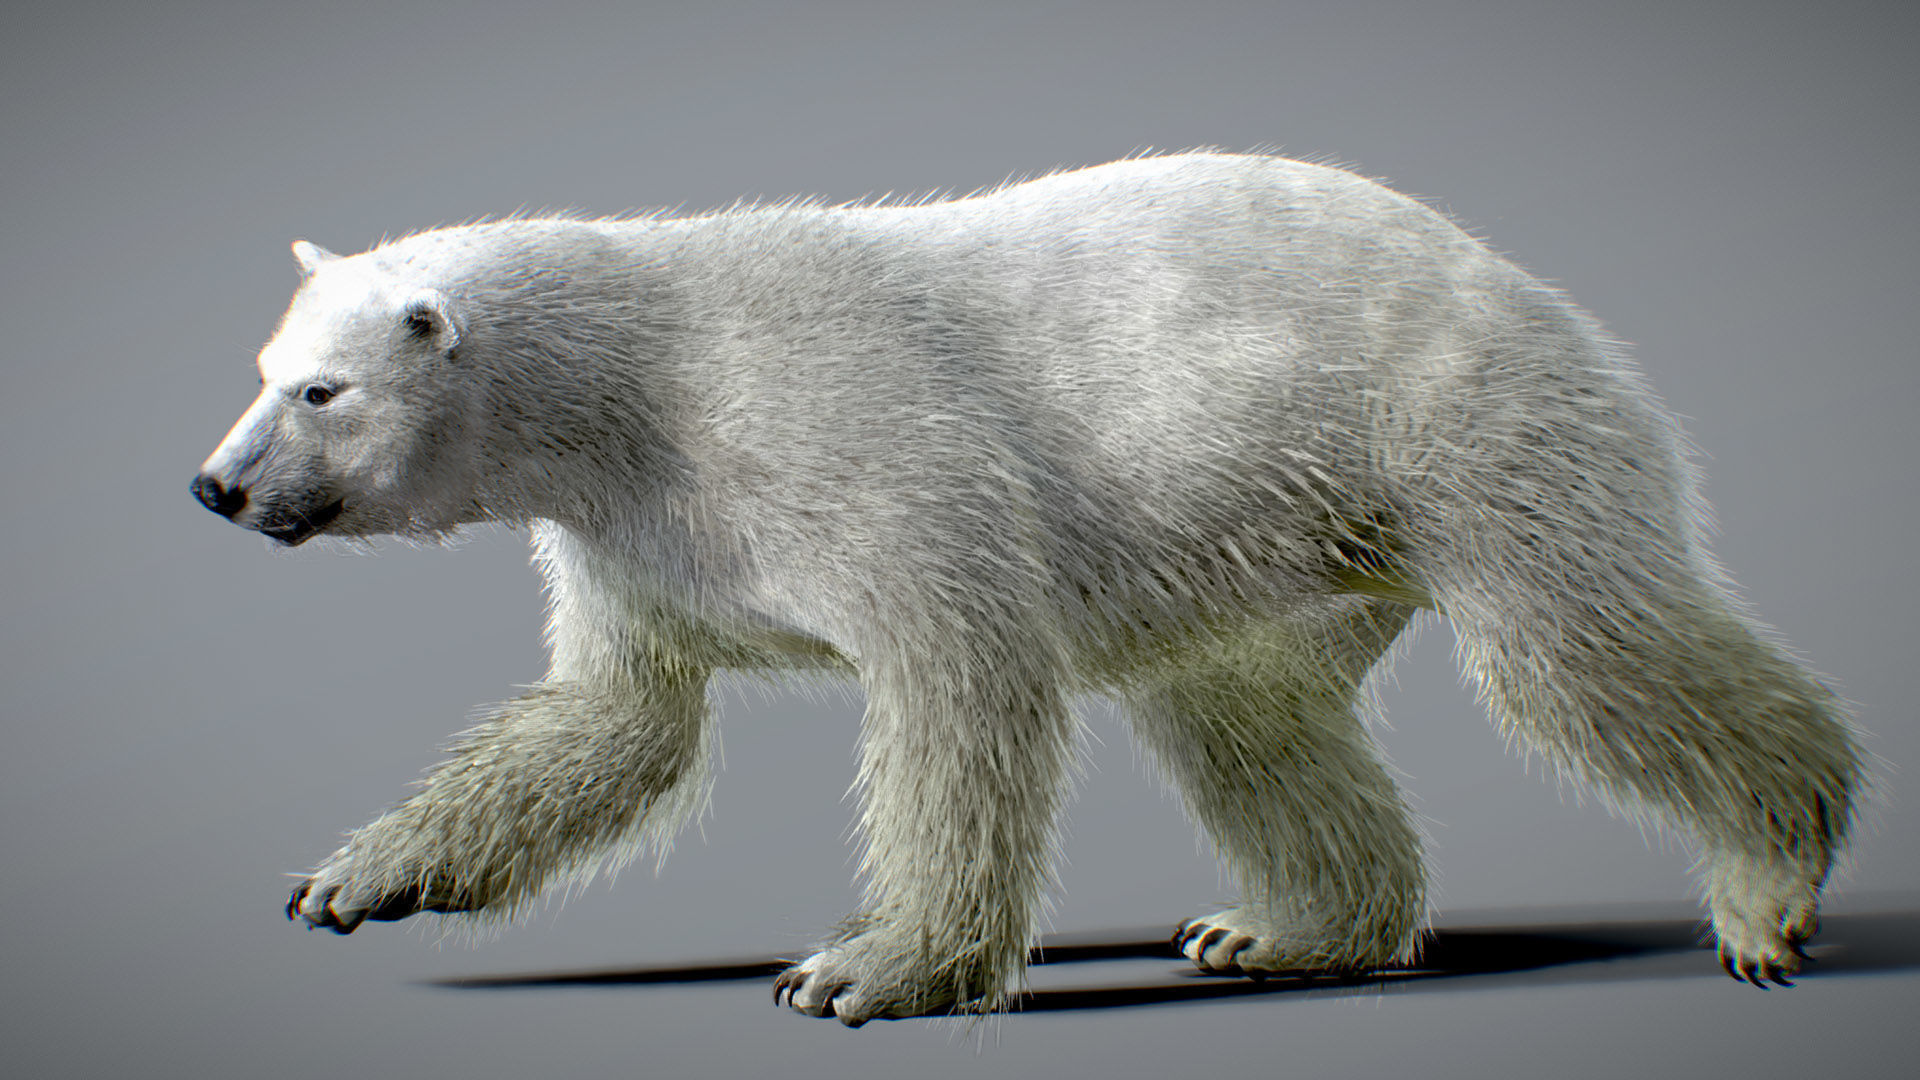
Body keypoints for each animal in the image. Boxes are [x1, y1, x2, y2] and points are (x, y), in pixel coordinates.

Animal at [192, 152, 1865, 1024]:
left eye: (323, 390)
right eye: (263, 368)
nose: (215, 487)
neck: (639, 382)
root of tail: (1523, 283)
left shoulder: (841, 437)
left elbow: (958, 680)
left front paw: (864, 969)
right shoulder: (636, 536)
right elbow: (617, 719)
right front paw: (359, 879)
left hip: (1459, 432)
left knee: (1579, 653)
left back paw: (1767, 885)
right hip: (1284, 540)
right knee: (1244, 712)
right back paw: (1276, 930)